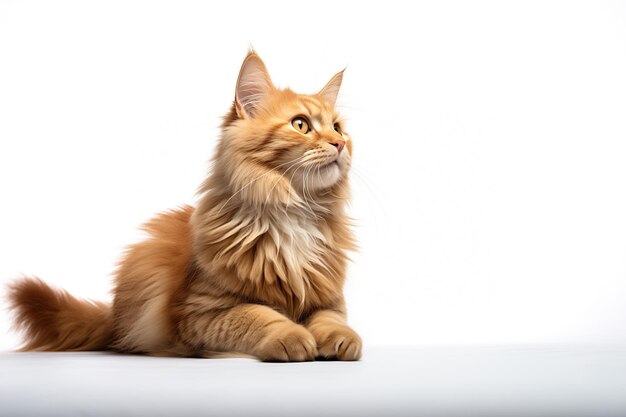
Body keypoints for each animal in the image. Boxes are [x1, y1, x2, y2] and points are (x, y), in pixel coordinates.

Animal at [6, 51, 360, 360]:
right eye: (300, 124)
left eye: (338, 128)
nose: (339, 144)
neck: (294, 211)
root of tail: (113, 316)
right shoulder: (202, 313)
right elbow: (259, 315)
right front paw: (292, 336)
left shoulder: (329, 300)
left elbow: (330, 322)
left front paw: (343, 340)